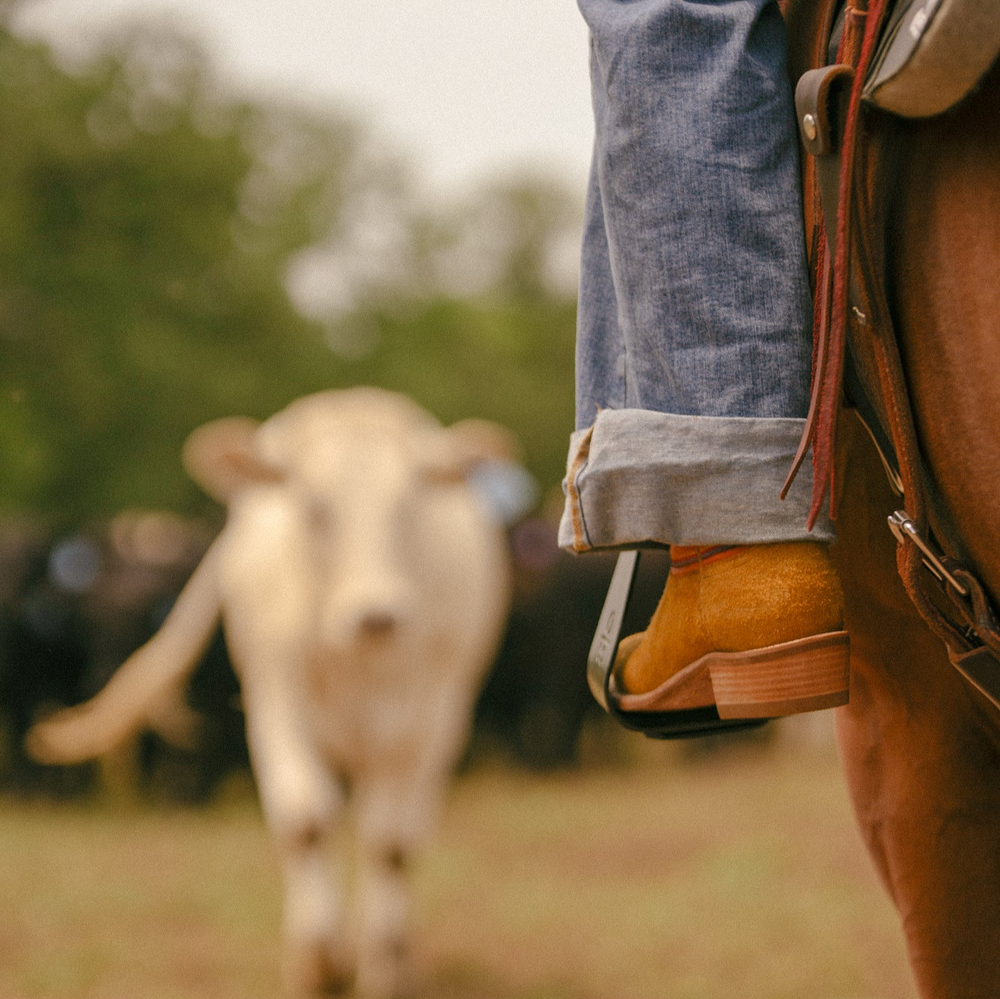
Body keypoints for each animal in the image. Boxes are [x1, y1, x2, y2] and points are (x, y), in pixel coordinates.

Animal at [27, 387, 514, 997]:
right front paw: (319, 963)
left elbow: (390, 843)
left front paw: (383, 965)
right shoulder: (276, 705)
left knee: (402, 832)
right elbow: (306, 823)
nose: (376, 616)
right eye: (313, 507)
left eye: (408, 507)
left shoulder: (427, 719)